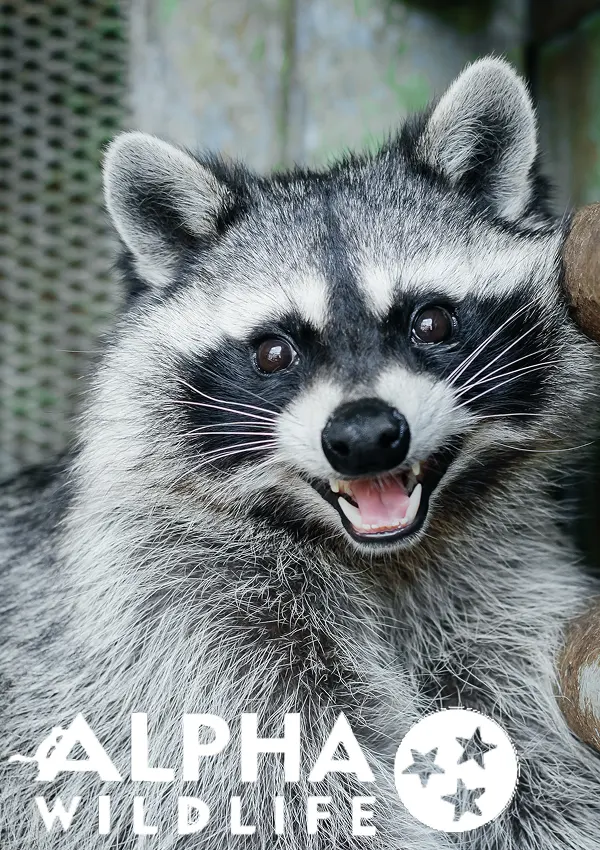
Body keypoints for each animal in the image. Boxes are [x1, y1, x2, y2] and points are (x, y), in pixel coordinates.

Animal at [1, 57, 600, 850]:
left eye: (433, 321)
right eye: (273, 352)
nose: (365, 436)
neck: (385, 560)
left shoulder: (501, 606)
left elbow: (540, 776)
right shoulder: (187, 627)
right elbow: (276, 795)